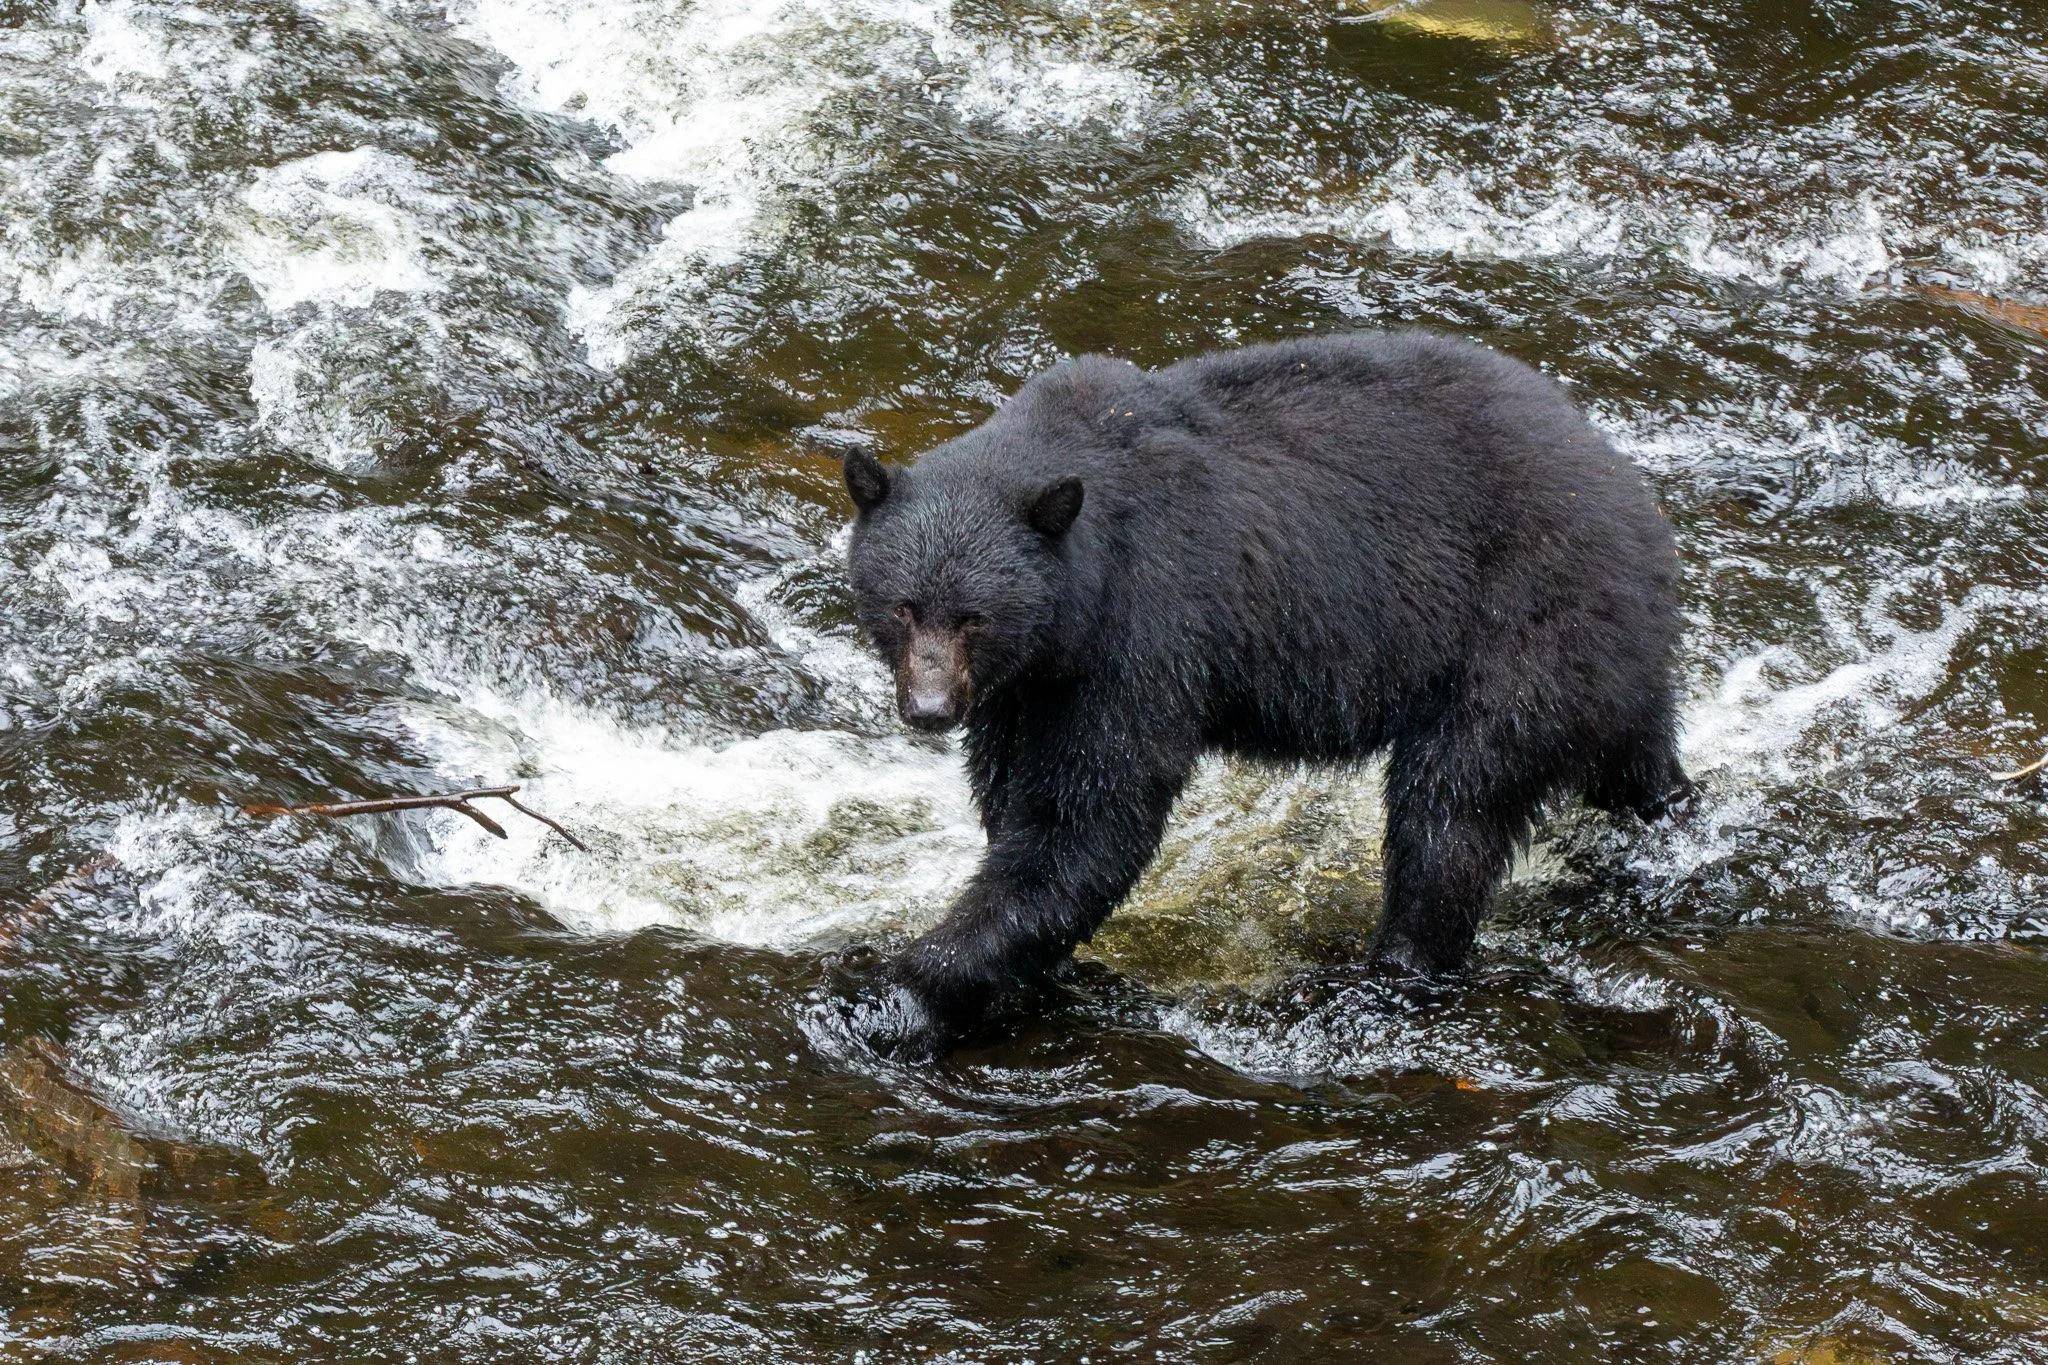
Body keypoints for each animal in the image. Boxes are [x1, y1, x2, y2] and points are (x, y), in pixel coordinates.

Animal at [842, 330, 1689, 1050]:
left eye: (974, 616)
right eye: (904, 605)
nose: (928, 709)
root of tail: (1634, 498)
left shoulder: (1142, 633)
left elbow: (1085, 823)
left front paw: (898, 993)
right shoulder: (1025, 687)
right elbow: (1010, 795)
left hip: (1524, 626)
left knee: (1452, 808)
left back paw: (1392, 969)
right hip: (1605, 664)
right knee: (1630, 756)